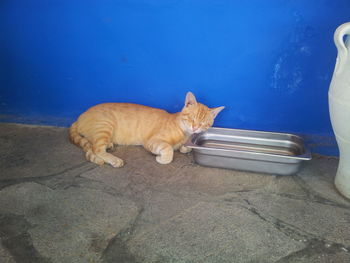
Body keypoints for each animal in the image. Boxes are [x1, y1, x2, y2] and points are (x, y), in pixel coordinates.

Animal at [69, 92, 224, 167]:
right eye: (192, 118)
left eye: (203, 123)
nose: (195, 127)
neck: (183, 132)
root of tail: (80, 117)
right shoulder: (152, 141)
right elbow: (168, 149)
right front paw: (161, 158)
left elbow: (185, 148)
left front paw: (183, 147)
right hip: (105, 126)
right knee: (96, 148)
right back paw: (114, 160)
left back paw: (109, 145)